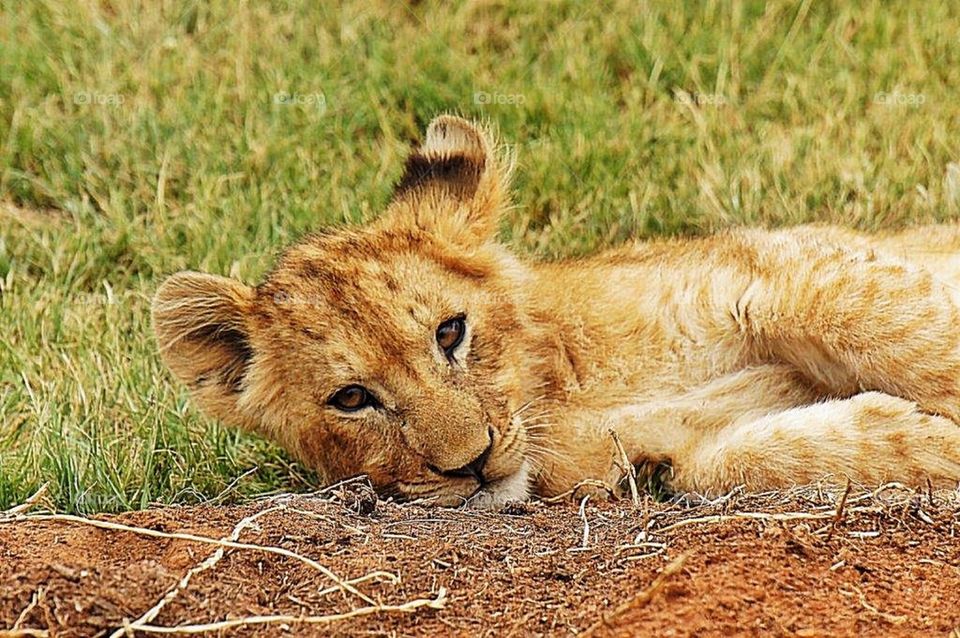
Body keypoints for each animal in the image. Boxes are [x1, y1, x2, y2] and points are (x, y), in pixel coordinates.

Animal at [153, 115, 960, 508]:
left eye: (451, 332)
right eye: (351, 399)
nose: (472, 466)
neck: (562, 397)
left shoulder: (776, 266)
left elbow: (898, 329)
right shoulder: (663, 456)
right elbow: (734, 461)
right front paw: (924, 438)